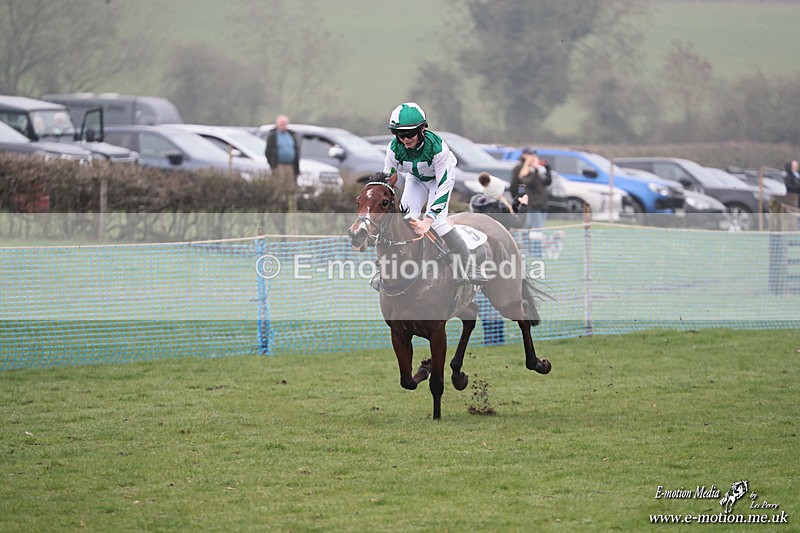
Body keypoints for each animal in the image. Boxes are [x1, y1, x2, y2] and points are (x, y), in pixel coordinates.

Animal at [347, 172, 551, 419]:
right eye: (358, 201)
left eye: (384, 202)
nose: (357, 234)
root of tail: (497, 223)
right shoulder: (398, 332)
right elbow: (407, 381)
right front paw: (426, 366)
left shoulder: (437, 331)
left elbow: (436, 382)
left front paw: (436, 415)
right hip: (465, 302)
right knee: (472, 315)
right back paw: (458, 374)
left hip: (505, 297)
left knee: (522, 316)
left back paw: (538, 364)